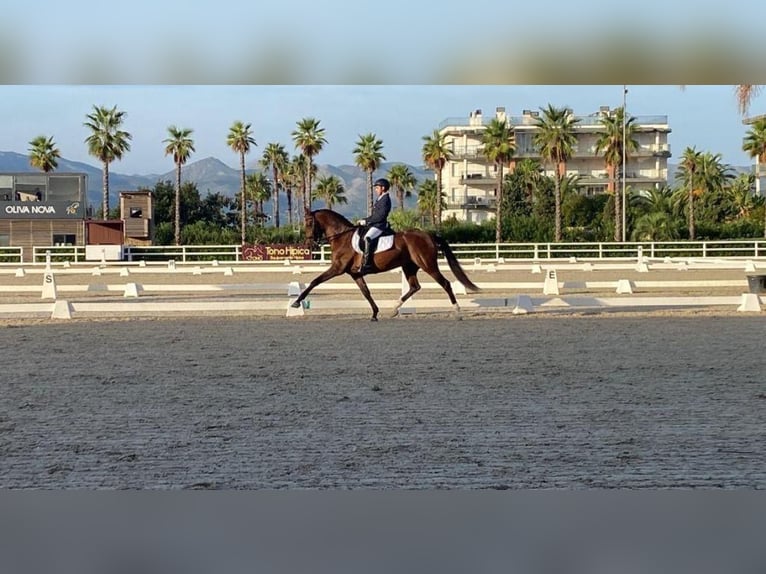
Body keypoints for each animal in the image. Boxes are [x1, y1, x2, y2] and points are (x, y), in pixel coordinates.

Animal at [289, 209, 481, 321]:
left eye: (308, 222)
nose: (308, 245)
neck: (341, 236)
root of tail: (428, 235)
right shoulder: (355, 274)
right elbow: (366, 292)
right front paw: (375, 313)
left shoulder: (337, 269)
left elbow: (314, 281)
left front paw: (296, 303)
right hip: (409, 266)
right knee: (414, 287)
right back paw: (394, 309)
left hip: (428, 265)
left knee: (445, 284)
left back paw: (457, 311)